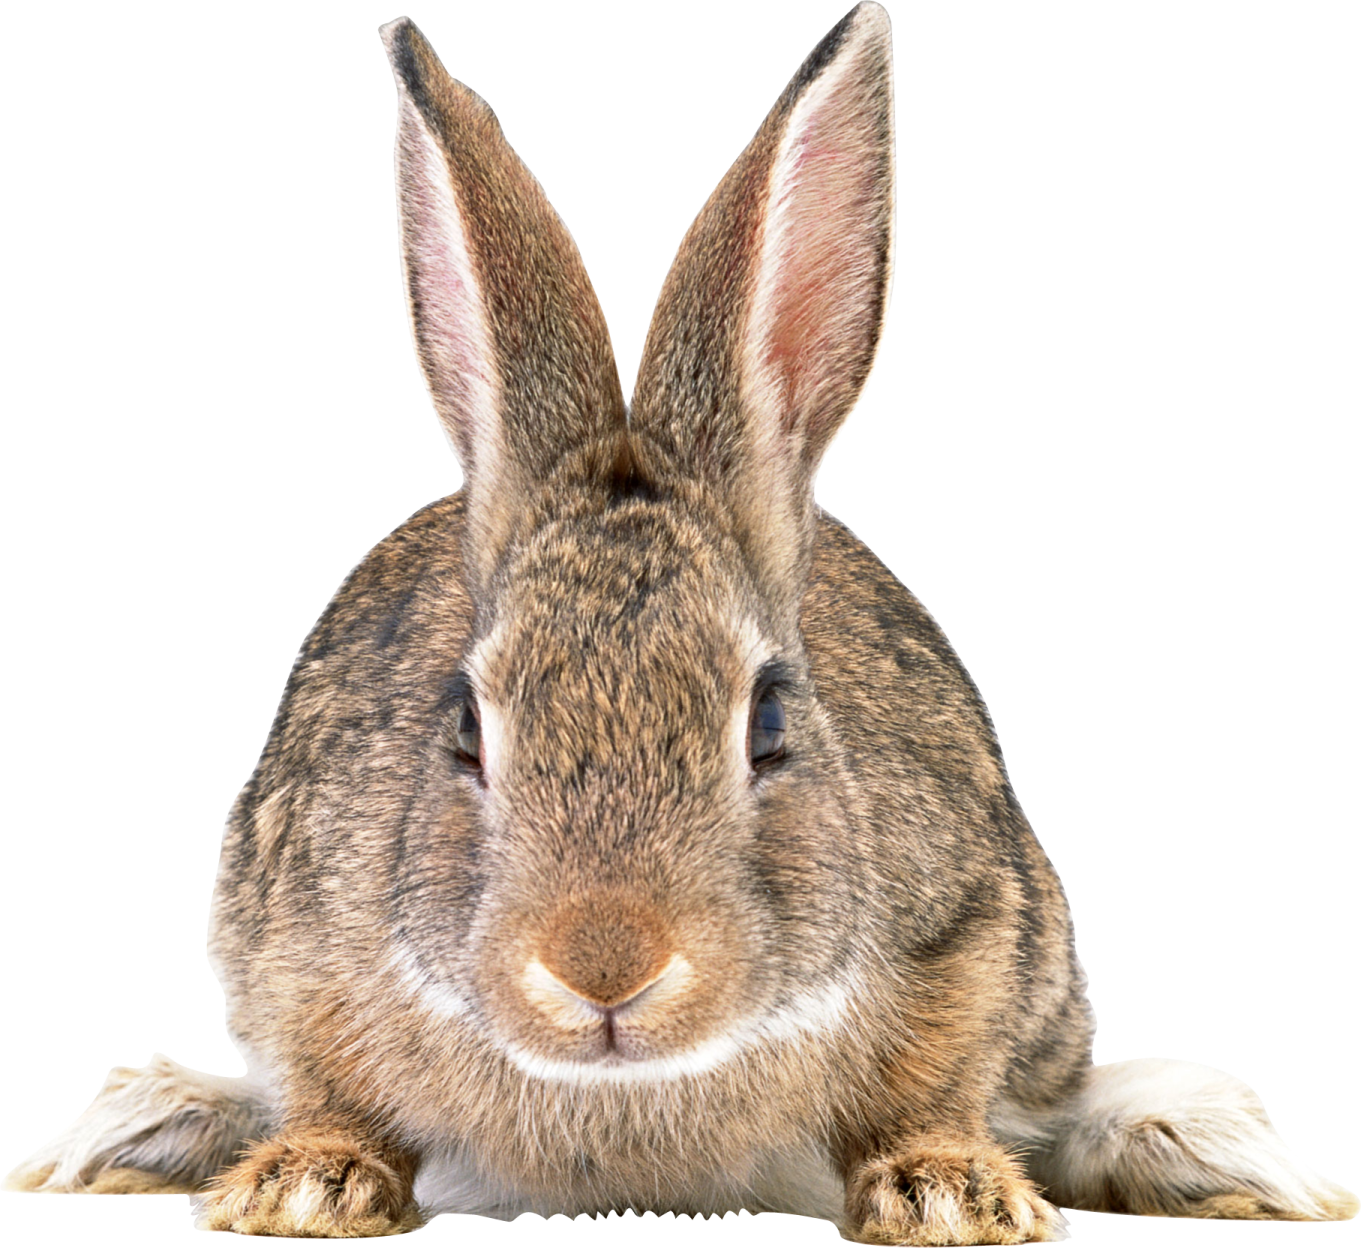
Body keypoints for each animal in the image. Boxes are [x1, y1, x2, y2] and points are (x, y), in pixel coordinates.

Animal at [4, 2, 1356, 1241]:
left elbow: (937, 1086)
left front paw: (947, 1197)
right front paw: (304, 1188)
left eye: (766, 722)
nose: (605, 965)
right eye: (465, 729)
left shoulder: (977, 929)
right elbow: (332, 1086)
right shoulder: (292, 944)